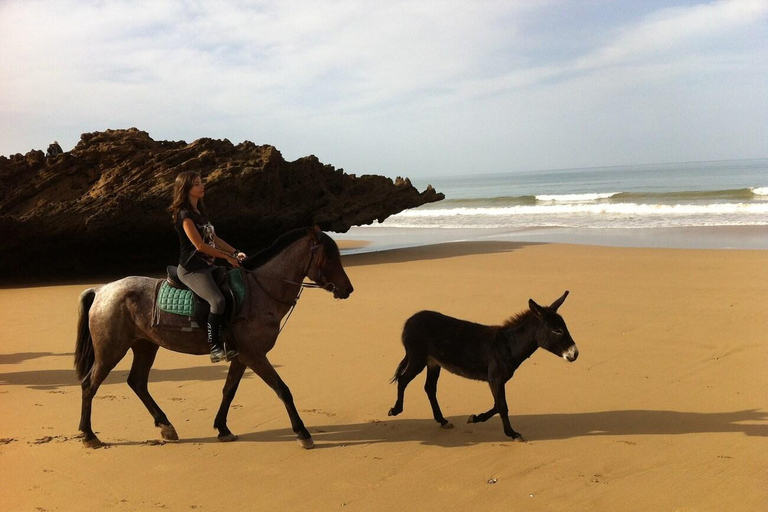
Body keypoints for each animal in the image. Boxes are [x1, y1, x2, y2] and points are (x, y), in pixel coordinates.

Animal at [73, 227, 356, 448]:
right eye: (330, 257)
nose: (348, 289)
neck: (259, 290)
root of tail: (101, 290)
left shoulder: (242, 356)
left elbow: (228, 390)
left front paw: (223, 429)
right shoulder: (255, 355)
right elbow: (282, 390)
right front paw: (302, 433)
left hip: (145, 345)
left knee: (138, 382)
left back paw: (166, 426)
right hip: (111, 350)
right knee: (90, 385)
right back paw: (89, 435)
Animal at [388, 292, 580, 440]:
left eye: (565, 328)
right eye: (557, 331)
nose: (575, 354)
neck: (508, 344)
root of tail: (411, 320)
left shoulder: (497, 380)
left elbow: (497, 404)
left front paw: (475, 418)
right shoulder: (495, 379)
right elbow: (502, 406)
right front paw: (512, 433)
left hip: (433, 362)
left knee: (429, 387)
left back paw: (442, 421)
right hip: (418, 358)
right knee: (404, 380)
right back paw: (395, 410)